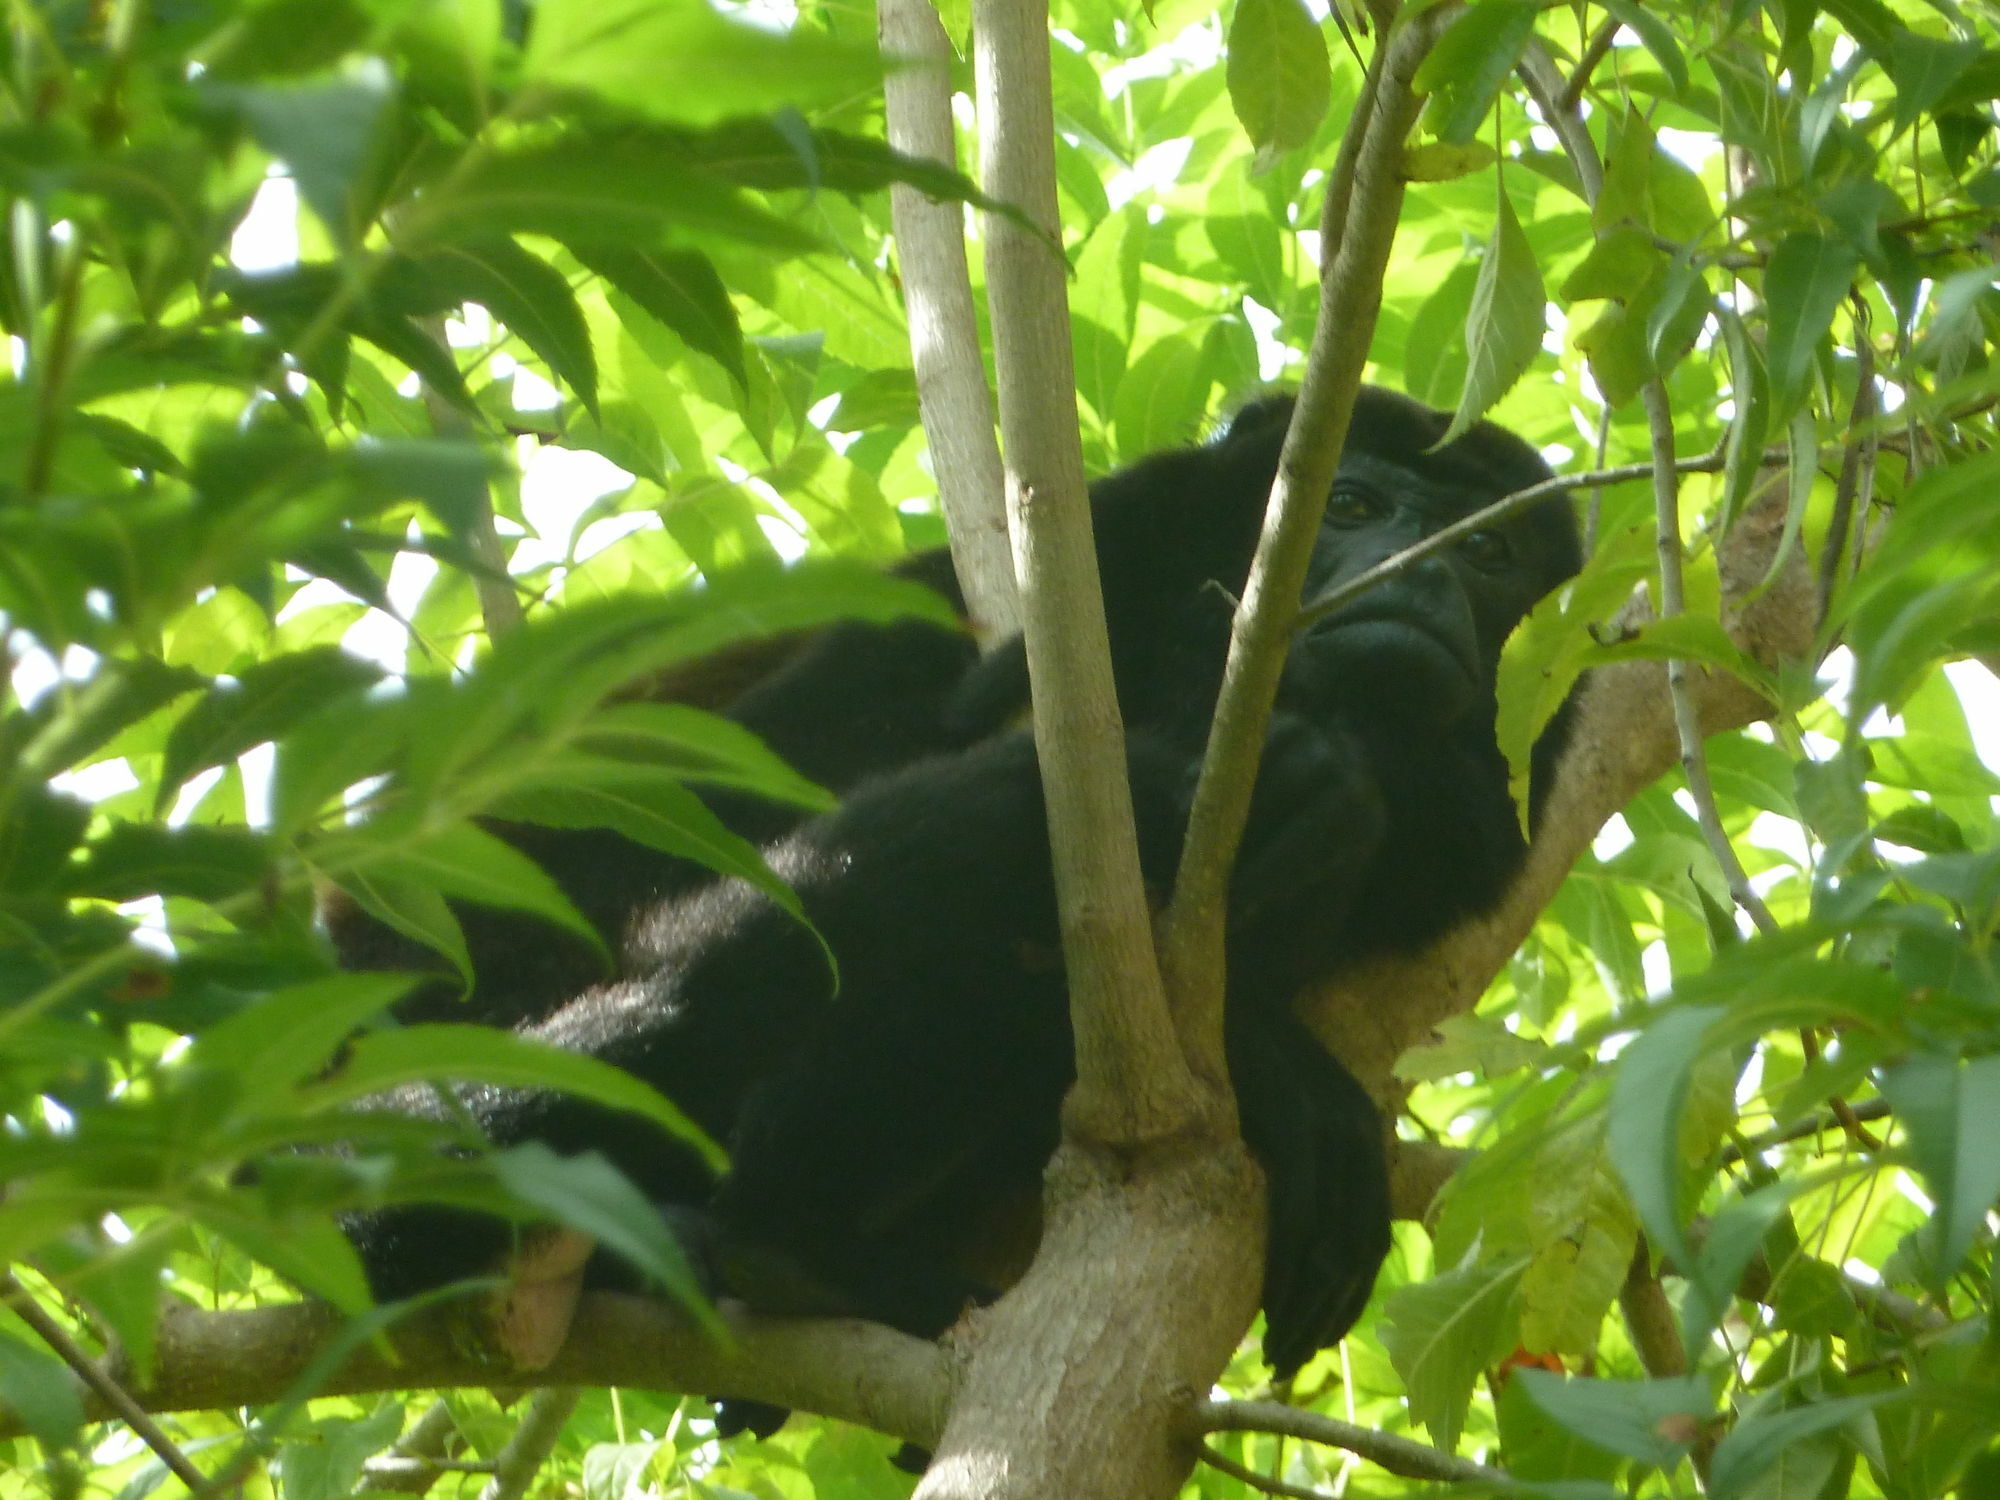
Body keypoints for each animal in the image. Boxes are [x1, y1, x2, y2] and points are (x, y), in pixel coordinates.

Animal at [336, 390, 1584, 1424]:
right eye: (1356, 501)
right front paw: (1286, 1066)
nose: (1418, 571)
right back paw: (786, 1242)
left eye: (1487, 549)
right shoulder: (1083, 568)